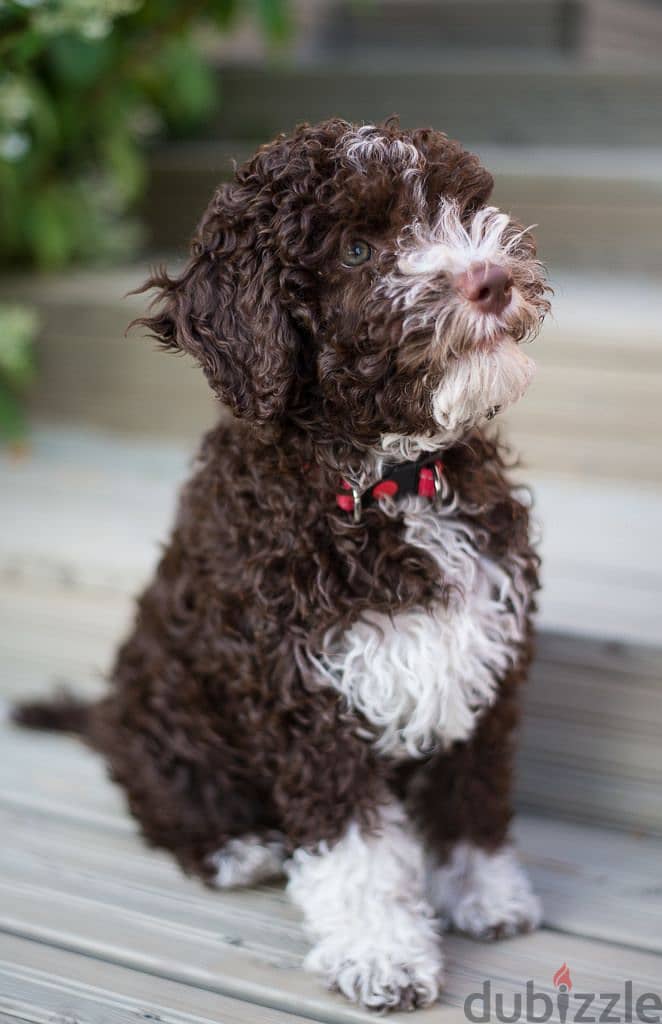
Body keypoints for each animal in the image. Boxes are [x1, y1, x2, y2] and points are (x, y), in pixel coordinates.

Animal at [18, 117, 553, 1007]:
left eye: (456, 205)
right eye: (356, 252)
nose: (491, 278)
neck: (391, 481)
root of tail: (107, 719)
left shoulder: (484, 653)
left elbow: (470, 791)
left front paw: (484, 893)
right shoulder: (305, 691)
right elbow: (354, 845)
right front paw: (381, 954)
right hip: (164, 716)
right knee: (164, 800)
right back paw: (237, 849)